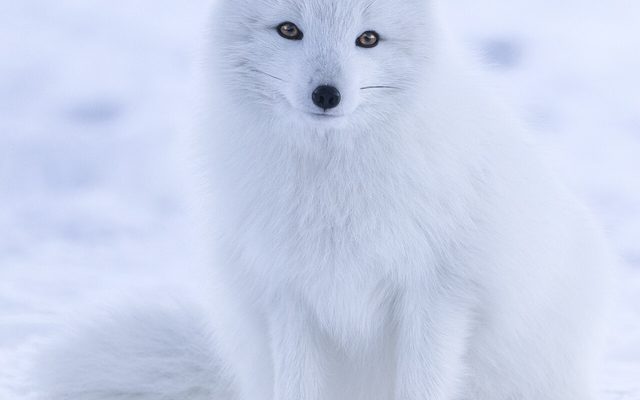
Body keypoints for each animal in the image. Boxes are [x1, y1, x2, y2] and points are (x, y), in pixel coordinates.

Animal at [31, 0, 611, 399]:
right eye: (290, 29)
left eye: (368, 38)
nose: (327, 95)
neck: (333, 188)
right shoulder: (289, 296)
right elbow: (297, 387)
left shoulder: (437, 294)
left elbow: (422, 385)